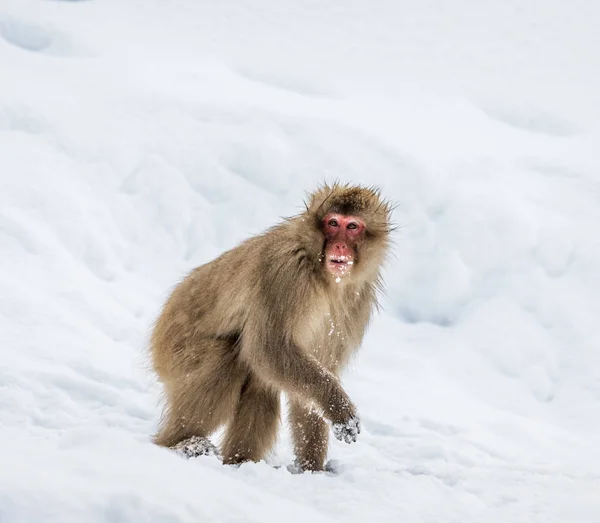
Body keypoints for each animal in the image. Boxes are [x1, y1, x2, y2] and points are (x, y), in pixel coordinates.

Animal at [150, 182, 394, 472]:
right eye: (333, 223)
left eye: (353, 226)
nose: (339, 245)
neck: (324, 276)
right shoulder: (286, 274)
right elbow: (269, 348)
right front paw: (337, 406)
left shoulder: (357, 299)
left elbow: (315, 373)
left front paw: (312, 469)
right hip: (174, 347)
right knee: (230, 358)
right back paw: (180, 443)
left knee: (261, 380)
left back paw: (239, 462)